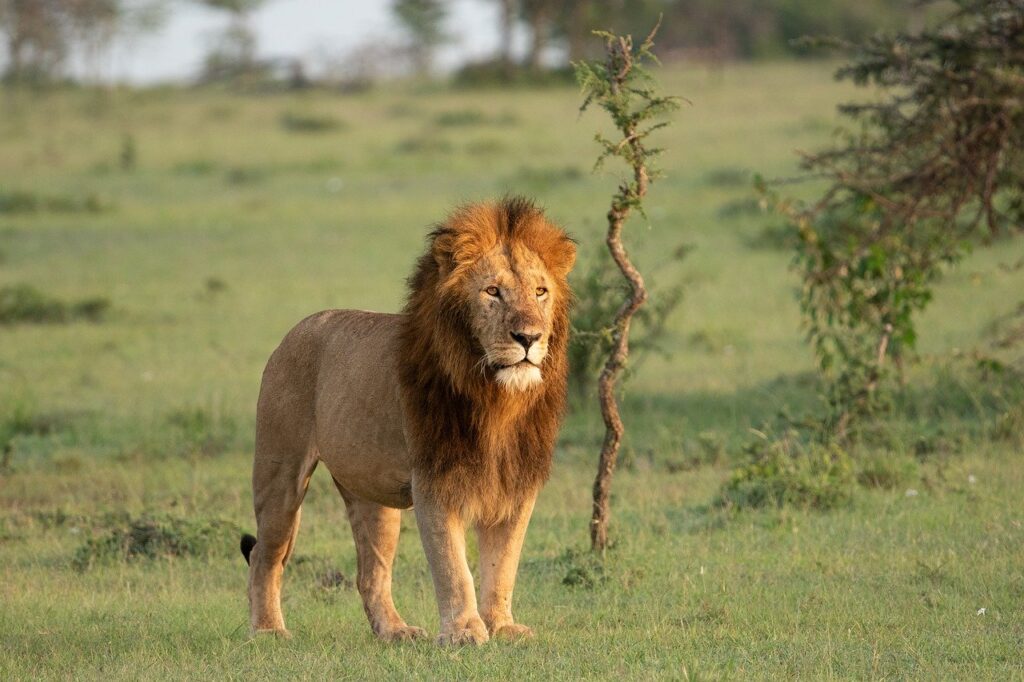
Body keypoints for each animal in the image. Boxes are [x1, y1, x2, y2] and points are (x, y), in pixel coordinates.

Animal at [239, 195, 577, 643]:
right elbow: (453, 567)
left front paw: (502, 626)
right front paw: (464, 633)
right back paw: (269, 630)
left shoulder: (516, 483)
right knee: (266, 554)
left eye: (540, 292)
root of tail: (297, 328)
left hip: (371, 493)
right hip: (281, 471)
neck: (496, 399)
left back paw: (394, 631)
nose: (529, 337)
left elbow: (503, 564)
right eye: (492, 292)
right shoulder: (434, 478)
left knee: (370, 573)